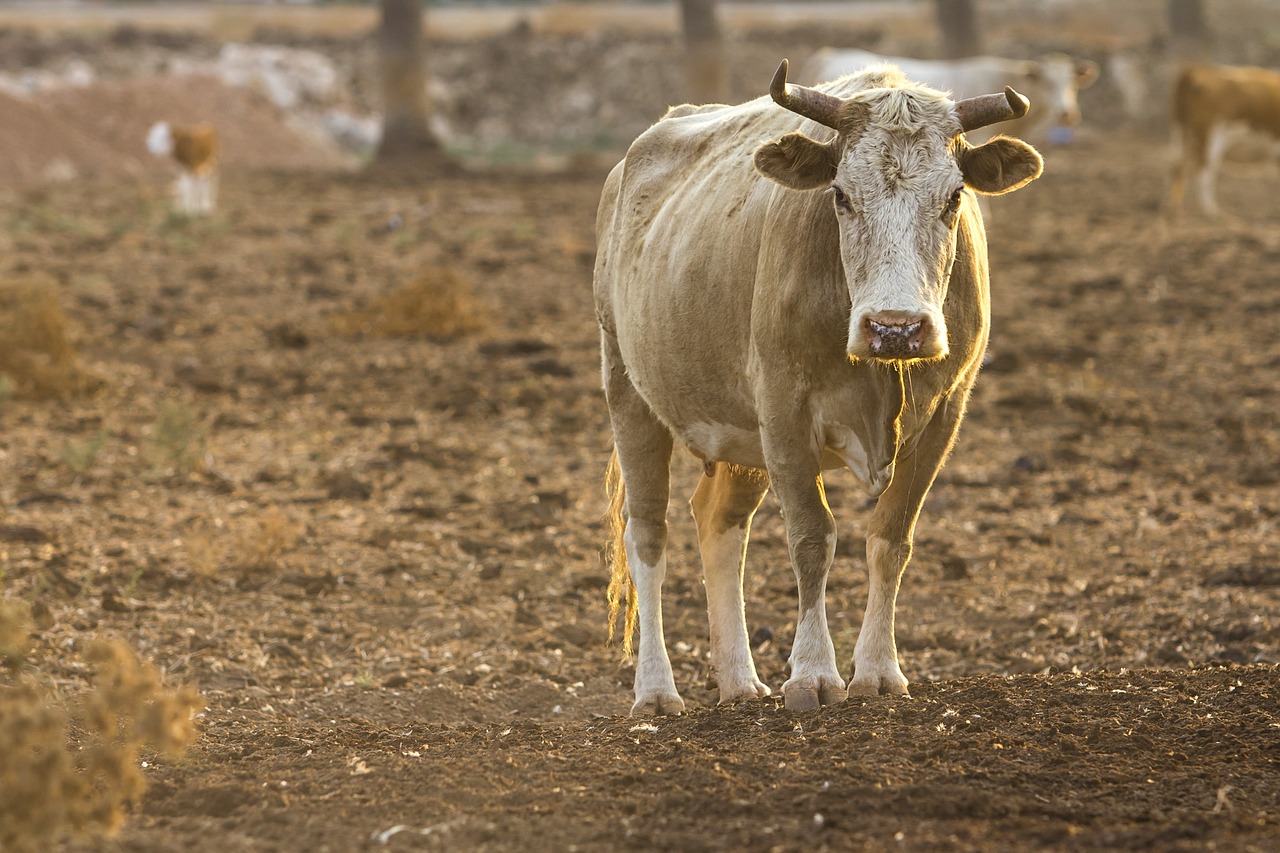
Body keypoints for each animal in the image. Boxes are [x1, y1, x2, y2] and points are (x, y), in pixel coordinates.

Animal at [596, 59, 1039, 712]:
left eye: (954, 196)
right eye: (841, 195)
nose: (896, 327)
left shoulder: (944, 414)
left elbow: (890, 538)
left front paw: (878, 669)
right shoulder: (785, 409)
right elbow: (812, 539)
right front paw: (813, 673)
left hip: (741, 436)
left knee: (719, 523)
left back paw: (738, 680)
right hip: (629, 392)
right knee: (649, 534)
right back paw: (655, 689)